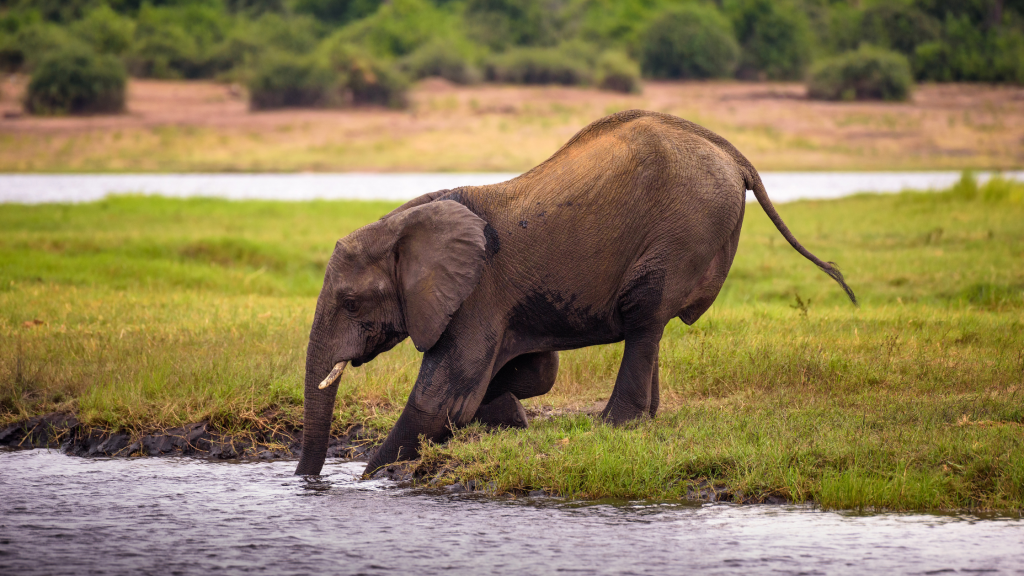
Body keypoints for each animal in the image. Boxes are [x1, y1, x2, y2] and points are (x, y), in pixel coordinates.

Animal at [296, 108, 856, 475]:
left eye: (351, 303)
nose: (307, 483)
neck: (402, 224)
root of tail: (734, 154)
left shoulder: (477, 293)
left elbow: (441, 398)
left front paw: (371, 478)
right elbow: (535, 372)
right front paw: (507, 418)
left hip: (682, 230)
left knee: (645, 315)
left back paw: (616, 425)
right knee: (650, 328)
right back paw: (644, 417)